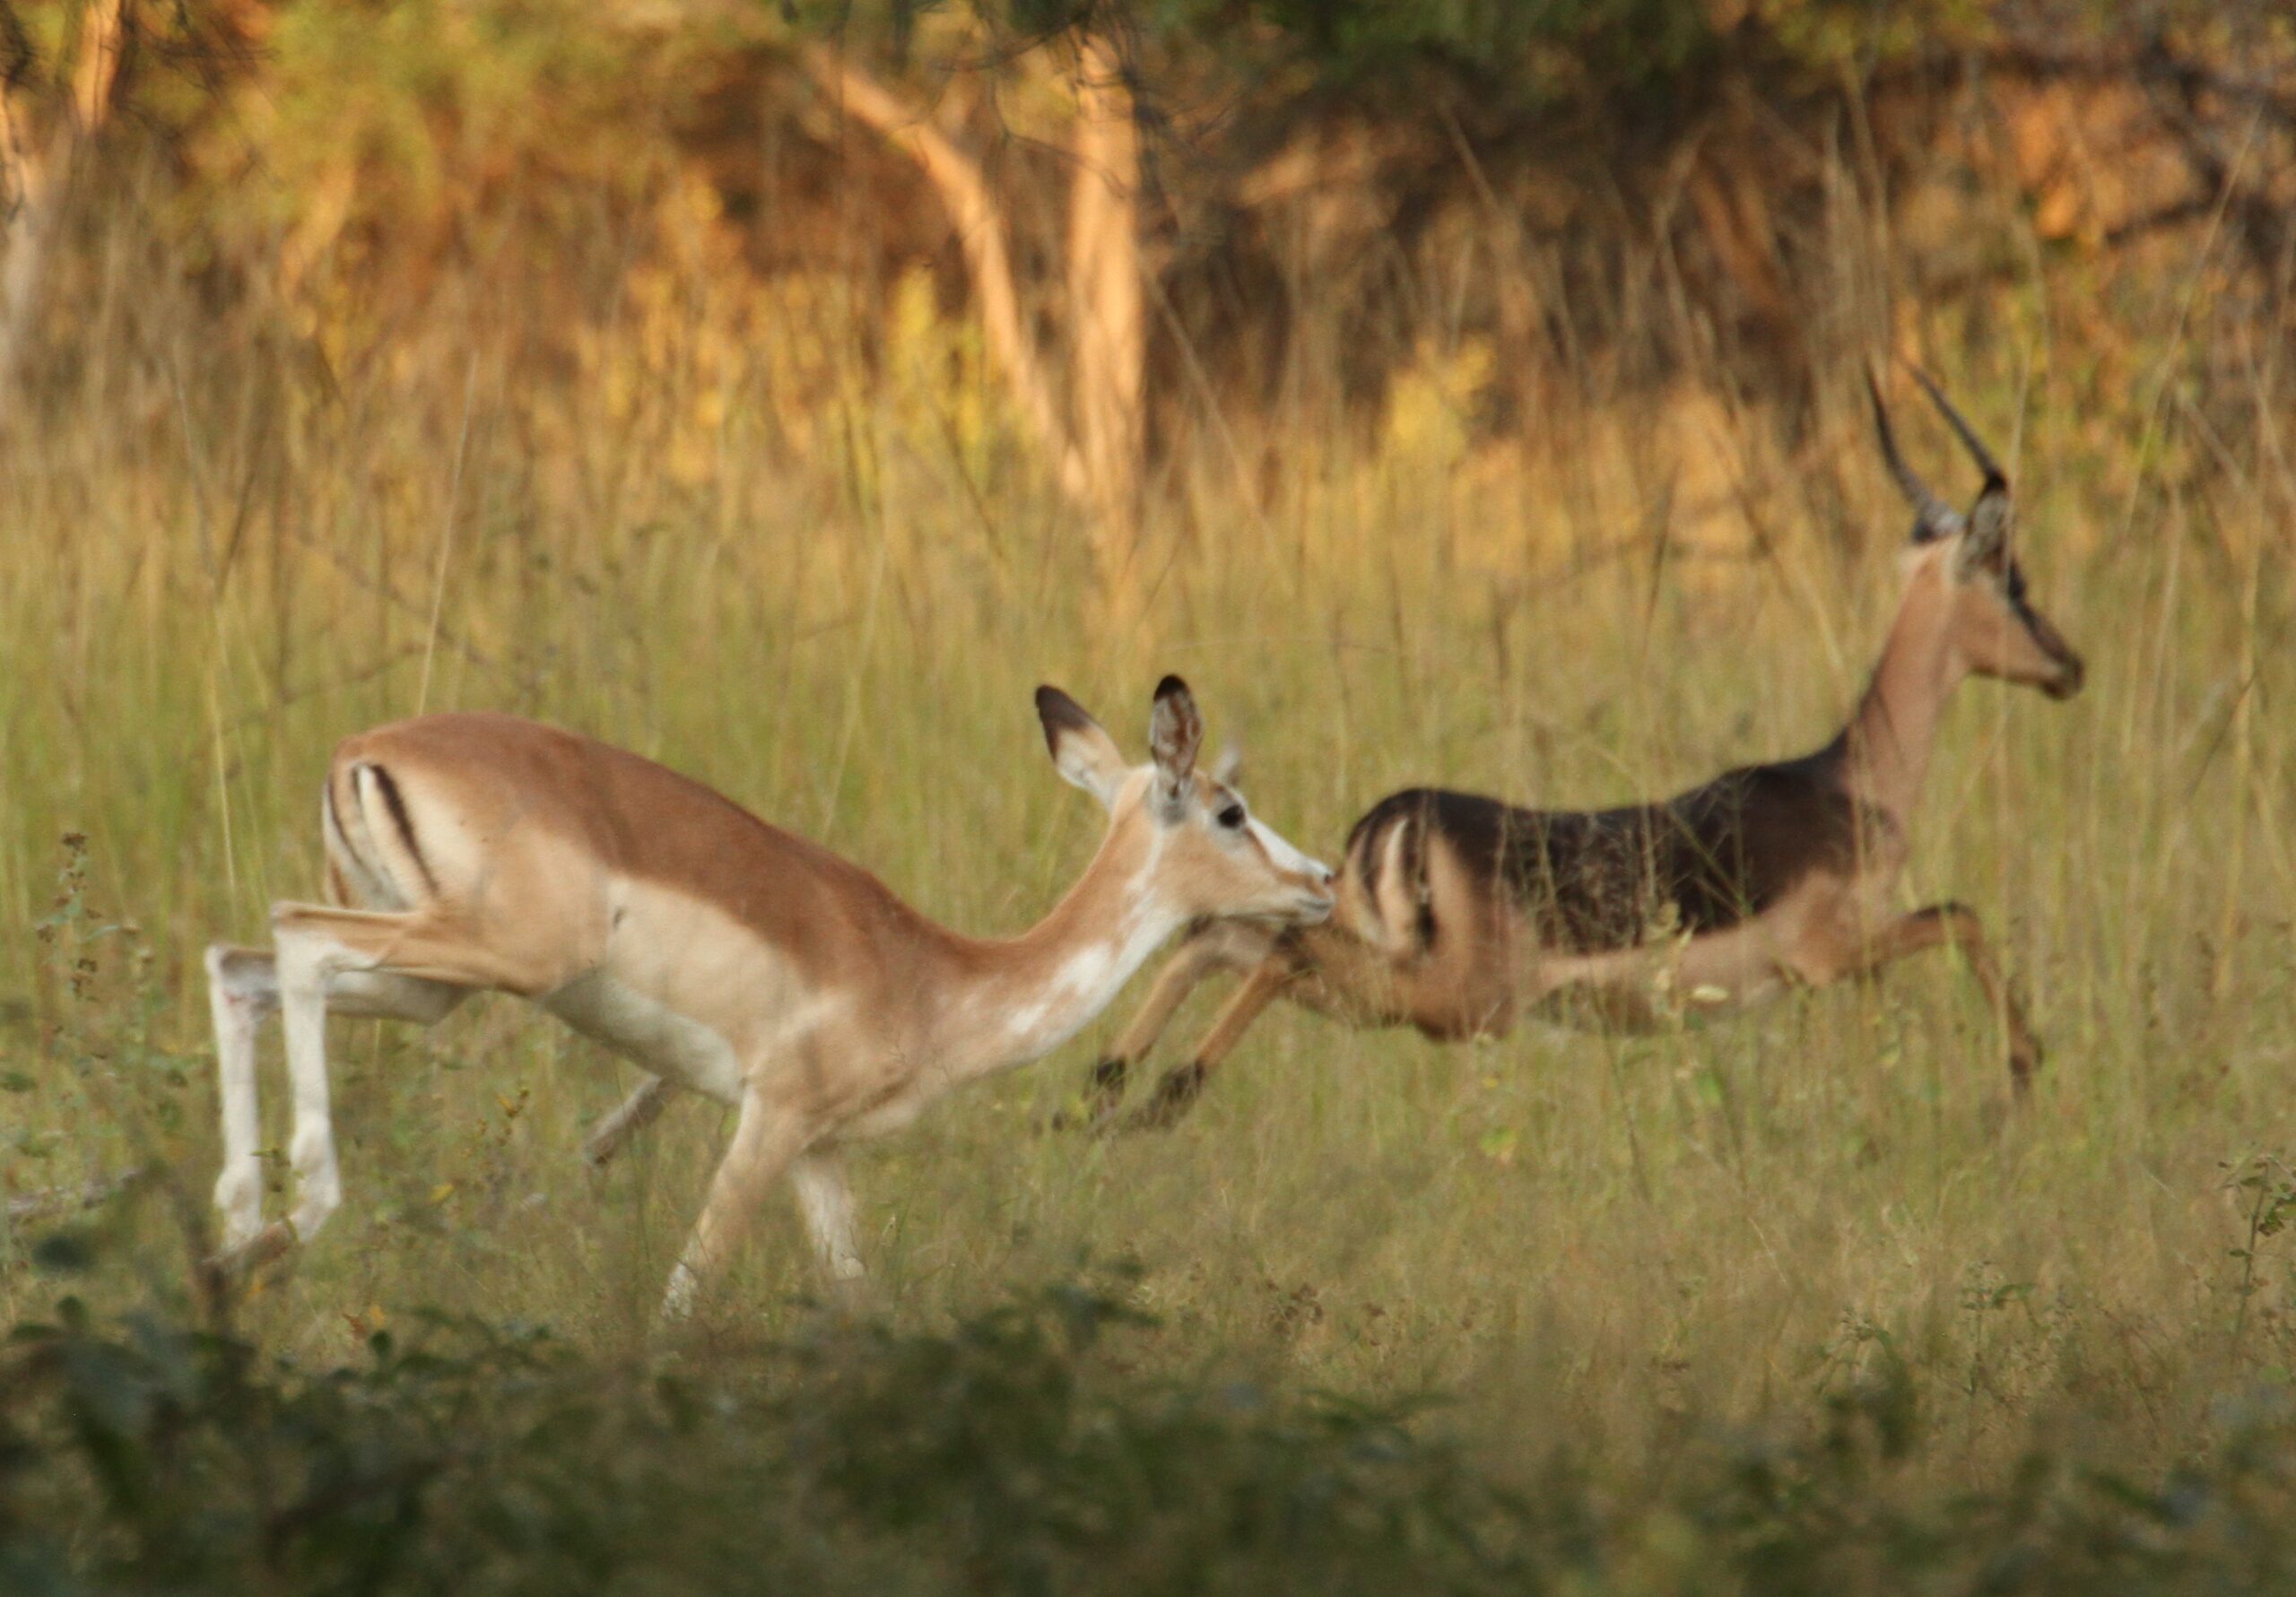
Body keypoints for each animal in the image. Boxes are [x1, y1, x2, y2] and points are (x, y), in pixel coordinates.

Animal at [204, 678, 1335, 1316]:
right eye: (1231, 812)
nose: (1321, 879)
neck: (936, 979)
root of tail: (364, 749)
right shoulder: (769, 1116)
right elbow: (685, 1292)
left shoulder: (818, 1153)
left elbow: (861, 1310)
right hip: (487, 958)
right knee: (292, 937)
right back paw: (292, 1212)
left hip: (426, 982)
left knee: (239, 963)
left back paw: (233, 1233)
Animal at [1064, 370, 2084, 1132]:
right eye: (2014, 579)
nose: (2069, 664)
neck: (1849, 782)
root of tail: (1391, 822)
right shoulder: (1832, 953)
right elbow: (1962, 914)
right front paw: (2022, 1072)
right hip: (1450, 1003)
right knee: (1272, 956)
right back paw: (1161, 1094)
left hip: (1388, 963)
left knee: (1222, 936)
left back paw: (1104, 1091)